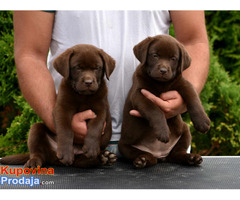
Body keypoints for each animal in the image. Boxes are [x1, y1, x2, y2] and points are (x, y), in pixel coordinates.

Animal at [118, 35, 210, 168]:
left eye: (173, 58)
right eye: (155, 55)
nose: (163, 70)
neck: (161, 84)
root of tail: (161, 155)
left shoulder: (184, 84)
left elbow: (193, 99)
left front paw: (202, 122)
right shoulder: (139, 94)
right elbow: (154, 110)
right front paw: (163, 131)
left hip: (185, 131)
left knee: (177, 153)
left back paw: (191, 158)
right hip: (124, 146)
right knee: (148, 157)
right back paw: (143, 160)